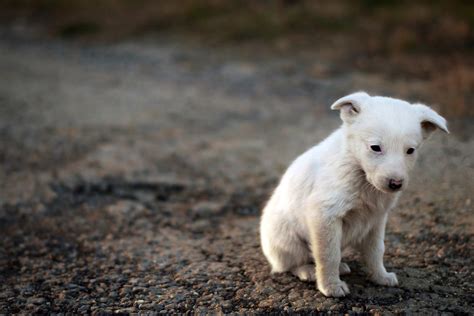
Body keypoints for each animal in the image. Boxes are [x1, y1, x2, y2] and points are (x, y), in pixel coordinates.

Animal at [260, 91, 448, 296]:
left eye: (410, 150)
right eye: (375, 147)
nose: (395, 184)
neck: (360, 173)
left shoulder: (376, 219)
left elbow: (376, 251)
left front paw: (380, 277)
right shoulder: (325, 215)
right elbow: (328, 255)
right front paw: (331, 286)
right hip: (287, 239)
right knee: (290, 264)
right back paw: (307, 270)